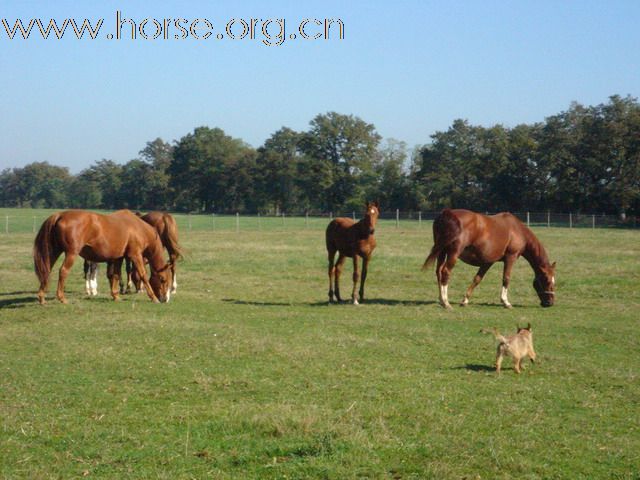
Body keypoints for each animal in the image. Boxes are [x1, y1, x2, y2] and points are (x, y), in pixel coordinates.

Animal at [32, 210, 172, 304]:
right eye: (163, 279)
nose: (165, 299)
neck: (137, 227)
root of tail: (60, 215)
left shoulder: (118, 258)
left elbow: (115, 275)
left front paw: (116, 296)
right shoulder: (135, 255)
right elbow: (143, 275)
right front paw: (153, 297)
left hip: (54, 251)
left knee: (47, 269)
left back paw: (42, 297)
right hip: (71, 253)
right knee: (63, 271)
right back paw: (62, 298)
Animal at [420, 209, 556, 308]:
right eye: (547, 281)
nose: (550, 303)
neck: (517, 230)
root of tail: (447, 213)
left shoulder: (488, 262)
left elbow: (477, 279)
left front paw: (465, 300)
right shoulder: (510, 257)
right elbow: (506, 278)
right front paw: (506, 302)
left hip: (442, 251)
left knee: (438, 271)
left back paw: (441, 299)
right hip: (453, 253)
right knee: (445, 272)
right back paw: (446, 302)